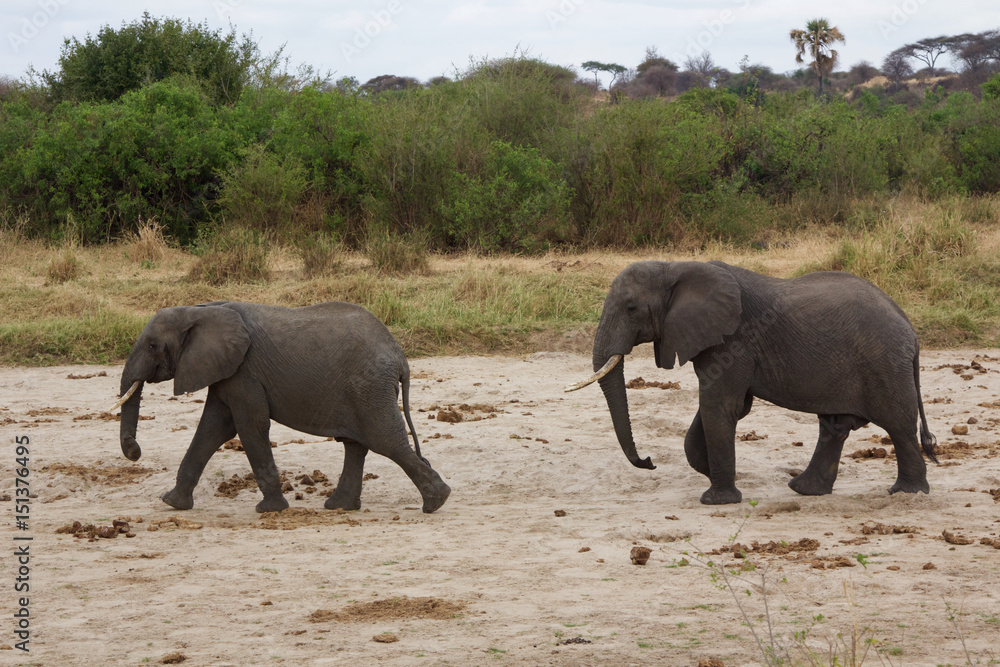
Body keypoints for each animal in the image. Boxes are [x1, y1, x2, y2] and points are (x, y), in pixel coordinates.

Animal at [113, 301, 451, 514]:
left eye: (153, 346)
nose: (134, 449)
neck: (199, 310)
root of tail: (400, 357)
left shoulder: (244, 371)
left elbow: (249, 426)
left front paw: (270, 510)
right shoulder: (227, 371)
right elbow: (213, 428)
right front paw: (171, 503)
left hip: (370, 388)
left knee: (386, 441)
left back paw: (436, 502)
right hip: (366, 391)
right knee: (357, 444)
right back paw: (340, 507)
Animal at [567, 260, 937, 505]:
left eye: (631, 308)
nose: (648, 461)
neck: (675, 267)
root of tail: (910, 326)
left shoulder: (733, 341)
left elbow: (719, 405)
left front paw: (717, 499)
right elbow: (728, 407)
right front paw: (713, 473)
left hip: (884, 365)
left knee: (898, 426)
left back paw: (907, 494)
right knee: (835, 426)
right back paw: (804, 490)